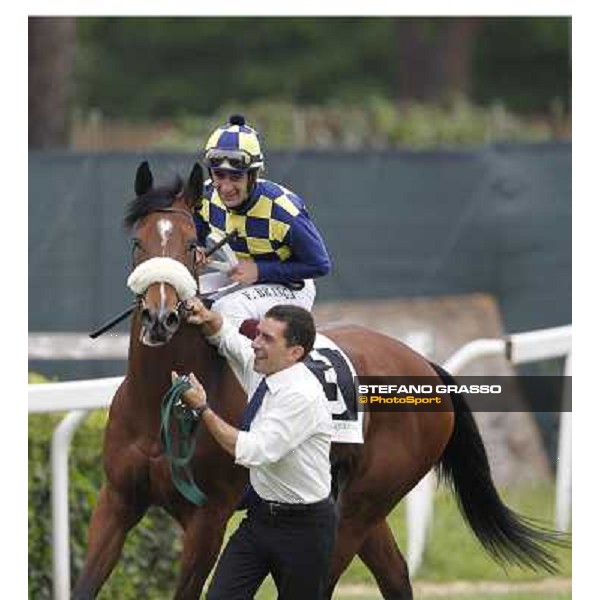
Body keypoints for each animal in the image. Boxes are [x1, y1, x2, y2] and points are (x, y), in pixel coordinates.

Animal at [74, 162, 564, 596]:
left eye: (192, 244)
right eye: (138, 242)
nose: (161, 318)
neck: (159, 397)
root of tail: (426, 365)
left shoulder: (207, 516)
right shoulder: (116, 500)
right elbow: (86, 584)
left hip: (364, 503)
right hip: (357, 501)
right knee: (395, 574)